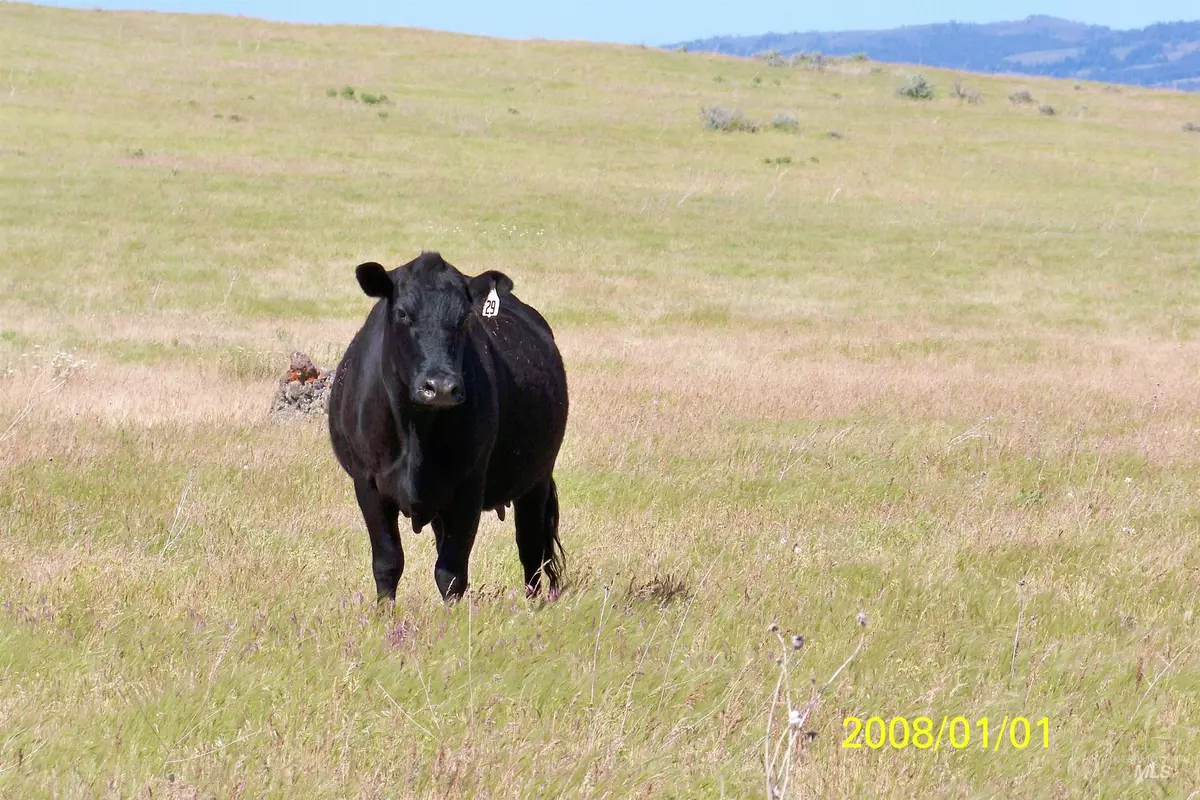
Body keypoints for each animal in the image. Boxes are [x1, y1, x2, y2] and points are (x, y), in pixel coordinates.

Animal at [326, 250, 568, 599]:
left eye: (465, 317)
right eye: (402, 314)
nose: (440, 387)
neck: (415, 432)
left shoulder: (469, 486)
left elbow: (451, 572)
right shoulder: (367, 483)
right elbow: (387, 563)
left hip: (536, 478)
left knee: (531, 549)